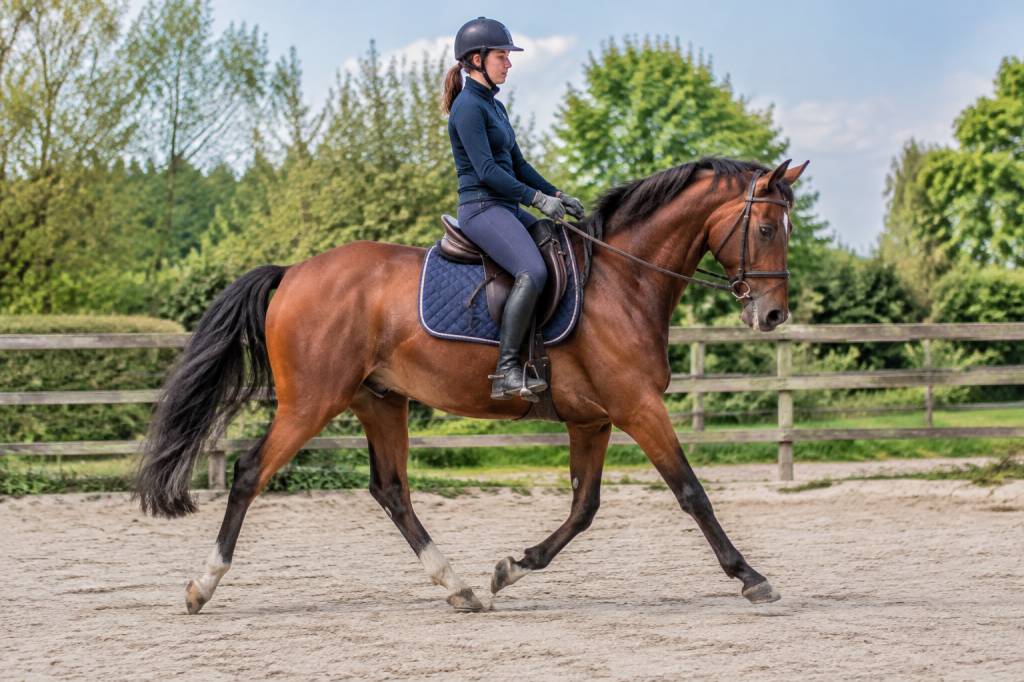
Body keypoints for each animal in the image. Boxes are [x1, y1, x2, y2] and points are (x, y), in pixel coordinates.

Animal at [134, 156, 809, 614]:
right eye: (767, 229)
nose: (773, 315)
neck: (622, 280)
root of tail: (295, 271)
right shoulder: (638, 408)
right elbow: (692, 493)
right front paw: (751, 577)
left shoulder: (592, 419)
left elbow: (584, 508)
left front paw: (512, 568)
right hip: (312, 402)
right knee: (252, 472)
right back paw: (202, 585)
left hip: (380, 401)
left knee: (392, 490)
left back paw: (458, 586)